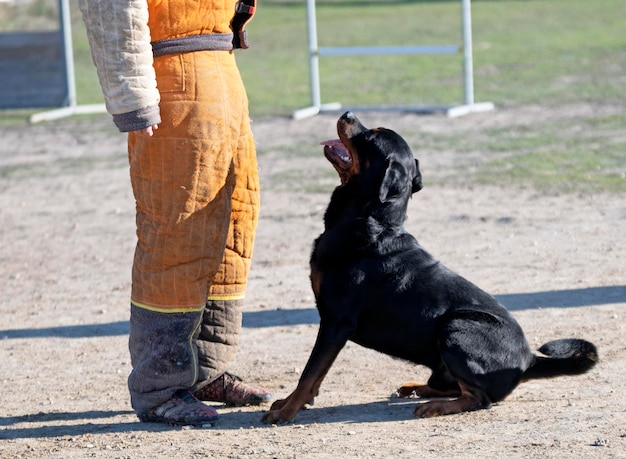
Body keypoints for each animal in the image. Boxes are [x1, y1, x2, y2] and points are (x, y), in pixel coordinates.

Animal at [260, 113, 596, 426]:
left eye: (370, 136)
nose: (348, 114)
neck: (370, 218)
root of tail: (528, 360)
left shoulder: (335, 322)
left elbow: (309, 372)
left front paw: (286, 411)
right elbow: (313, 375)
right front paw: (289, 403)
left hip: (456, 326)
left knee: (478, 397)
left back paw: (434, 406)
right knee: (453, 386)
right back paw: (417, 388)